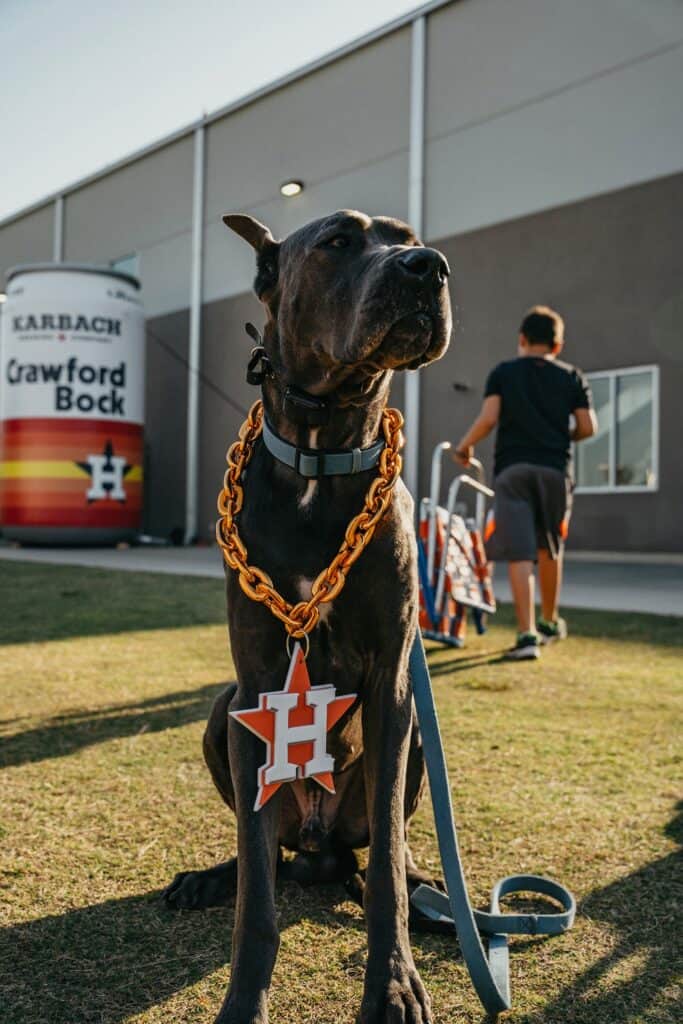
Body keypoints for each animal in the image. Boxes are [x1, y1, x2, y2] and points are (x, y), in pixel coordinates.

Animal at [163, 209, 454, 1024]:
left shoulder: (391, 685)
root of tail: (321, 849)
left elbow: (386, 865)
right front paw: (243, 998)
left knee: (384, 849)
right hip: (224, 717)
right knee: (261, 849)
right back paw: (214, 874)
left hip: (414, 741)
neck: (322, 458)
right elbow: (257, 899)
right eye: (336, 243)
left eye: (408, 236)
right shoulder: (258, 684)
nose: (428, 266)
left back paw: (428, 888)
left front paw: (393, 984)